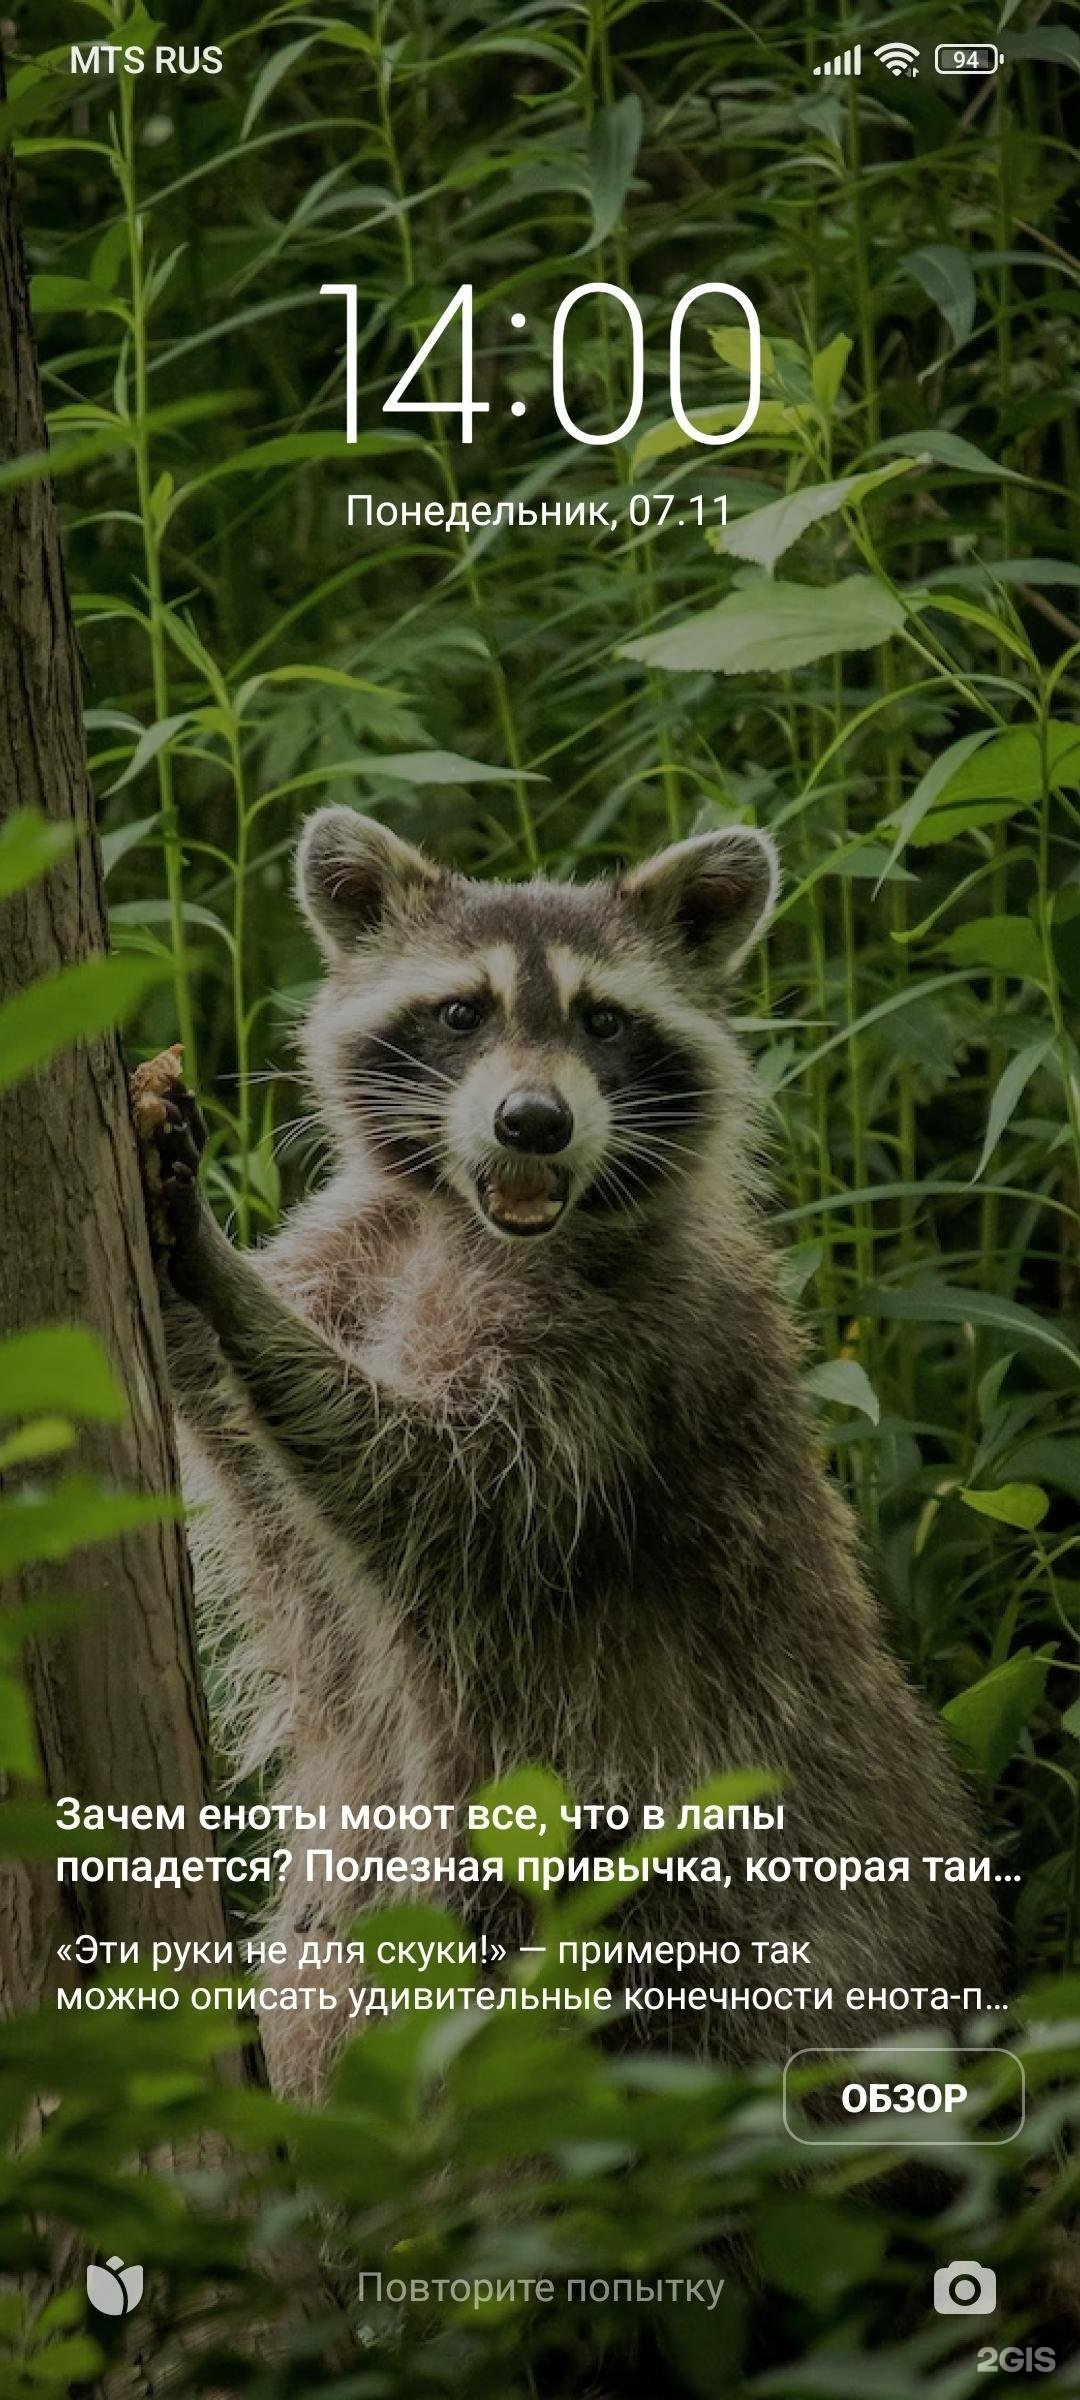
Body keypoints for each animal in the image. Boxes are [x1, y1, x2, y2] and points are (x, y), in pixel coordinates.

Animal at [139, 811, 998, 2102]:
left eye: (603, 1021)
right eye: (461, 1012)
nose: (533, 1123)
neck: (463, 1217)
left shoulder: (625, 1355)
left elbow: (438, 1486)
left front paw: (223, 1279)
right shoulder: (363, 1249)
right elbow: (262, 1471)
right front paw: (199, 1305)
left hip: (698, 1873)